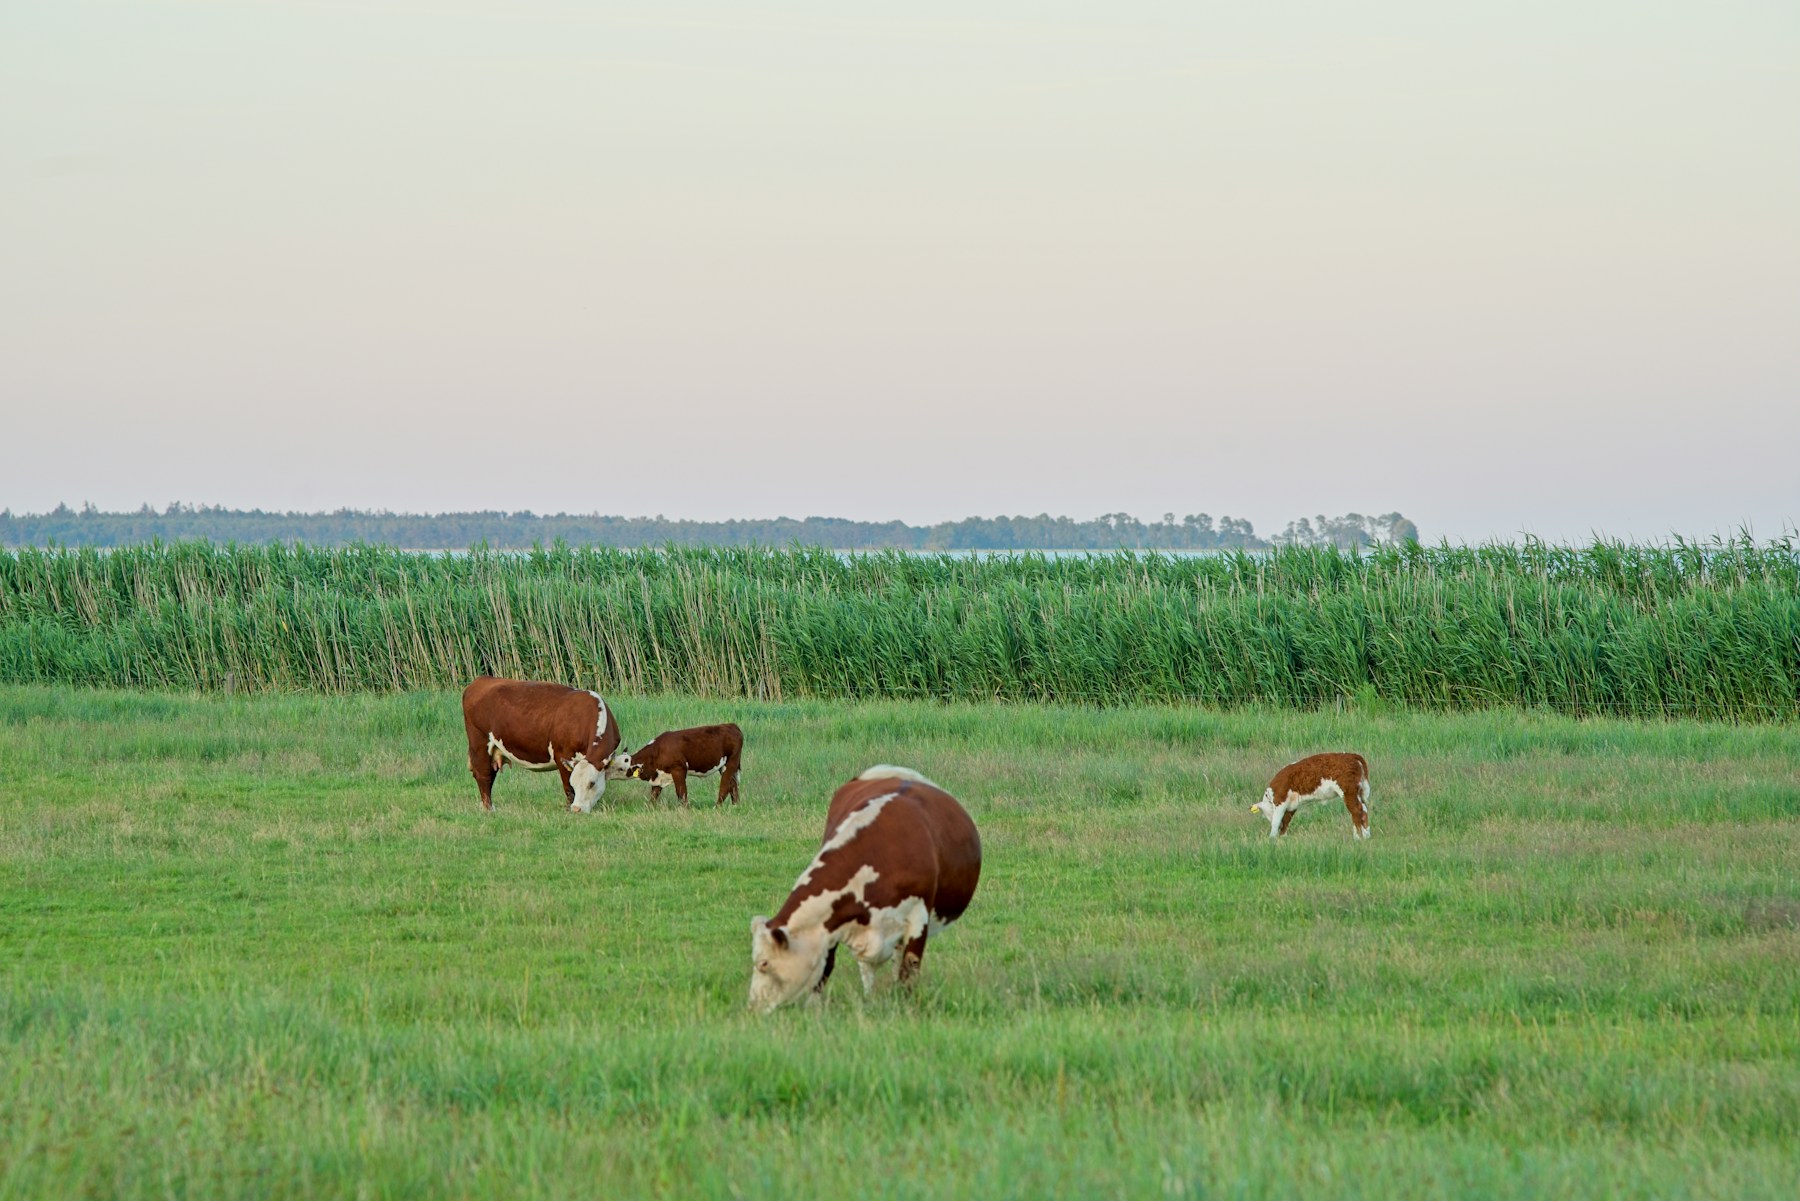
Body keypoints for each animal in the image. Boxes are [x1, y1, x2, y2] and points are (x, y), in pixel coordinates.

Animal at [460, 676, 622, 813]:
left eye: (592, 783)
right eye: (575, 782)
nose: (577, 809)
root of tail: (481, 680)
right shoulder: (562, 754)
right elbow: (568, 787)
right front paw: (568, 808)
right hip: (479, 743)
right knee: (483, 775)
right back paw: (489, 809)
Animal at [609, 723, 743, 806]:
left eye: (620, 768)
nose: (607, 774)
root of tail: (731, 725)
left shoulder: (679, 770)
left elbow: (681, 793)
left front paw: (686, 809)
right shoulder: (658, 776)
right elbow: (654, 795)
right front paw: (650, 807)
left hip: (731, 763)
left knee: (725, 785)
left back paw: (717, 807)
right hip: (725, 766)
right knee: (733, 785)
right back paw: (735, 805)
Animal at [748, 765, 981, 1014]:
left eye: (764, 963)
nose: (752, 1007)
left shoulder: (919, 916)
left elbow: (910, 967)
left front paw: (906, 1004)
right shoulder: (830, 925)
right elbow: (828, 966)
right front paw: (815, 1009)